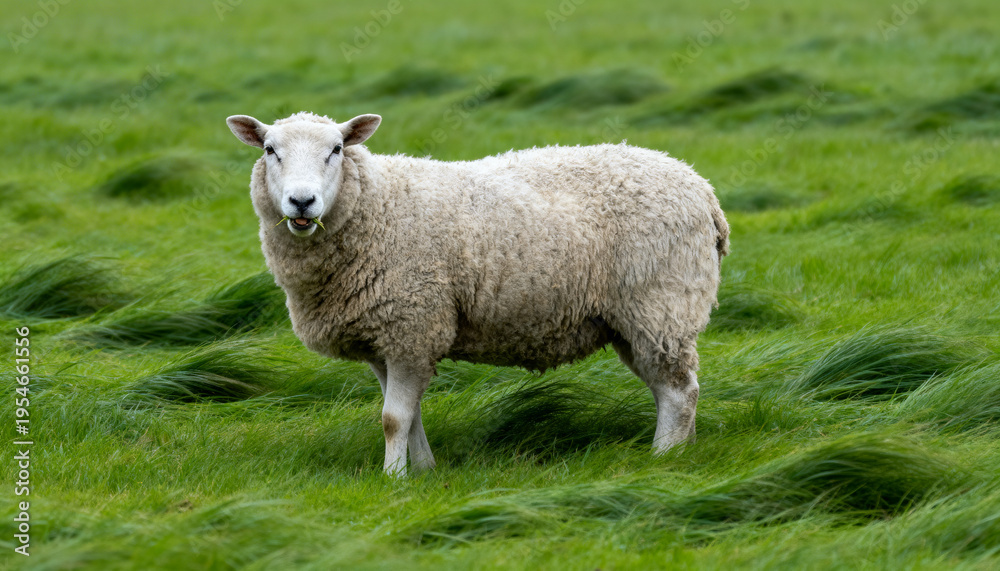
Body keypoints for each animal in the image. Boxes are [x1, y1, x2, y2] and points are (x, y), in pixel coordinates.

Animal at [226, 111, 729, 476]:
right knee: (669, 389)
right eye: (270, 150)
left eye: (336, 149)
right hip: (634, 320)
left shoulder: (413, 326)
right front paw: (425, 470)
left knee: (680, 391)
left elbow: (393, 418)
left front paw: (393, 480)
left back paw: (664, 459)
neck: (379, 206)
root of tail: (701, 189)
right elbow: (410, 415)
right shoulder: (384, 340)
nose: (302, 202)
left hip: (662, 303)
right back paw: (682, 451)